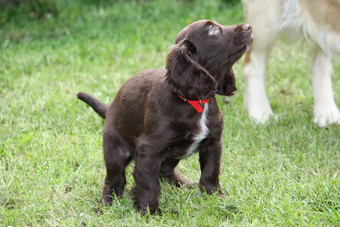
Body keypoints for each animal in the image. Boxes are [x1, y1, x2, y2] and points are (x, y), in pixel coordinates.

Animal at [77, 20, 252, 215]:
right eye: (213, 30)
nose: (249, 26)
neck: (193, 101)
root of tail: (109, 110)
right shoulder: (149, 150)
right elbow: (149, 184)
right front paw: (150, 212)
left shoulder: (214, 142)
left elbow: (211, 172)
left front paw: (214, 197)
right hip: (115, 151)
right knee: (115, 180)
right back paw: (106, 204)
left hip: (173, 154)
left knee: (165, 171)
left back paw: (184, 184)